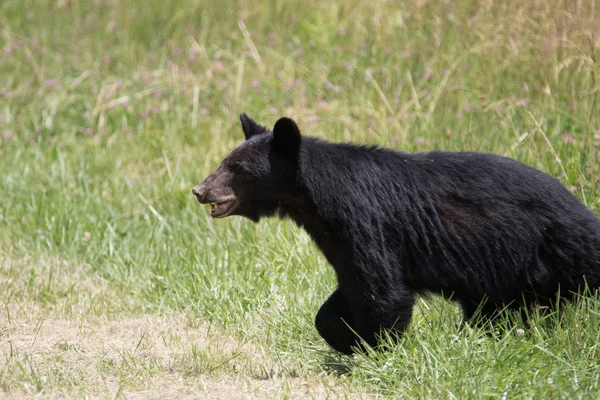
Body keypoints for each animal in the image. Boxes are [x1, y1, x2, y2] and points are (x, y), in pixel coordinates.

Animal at [192, 112, 600, 354]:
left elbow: (385, 292)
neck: (317, 200)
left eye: (237, 168)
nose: (199, 190)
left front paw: (377, 351)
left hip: (554, 252)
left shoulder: (366, 222)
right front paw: (346, 337)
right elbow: (351, 290)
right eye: (225, 161)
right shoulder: (339, 240)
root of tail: (582, 210)